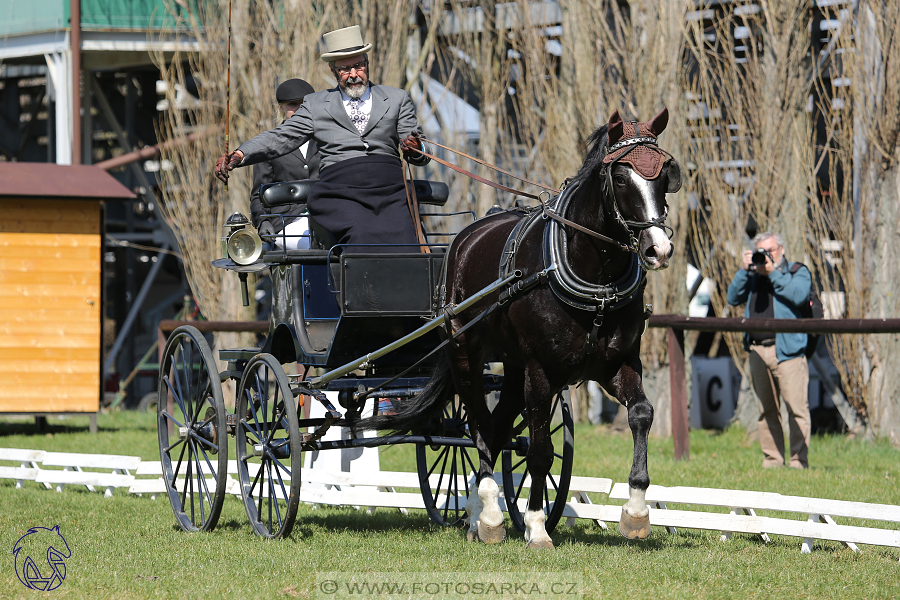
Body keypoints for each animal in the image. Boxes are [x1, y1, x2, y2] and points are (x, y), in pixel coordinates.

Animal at [362, 108, 680, 548]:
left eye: (665, 174)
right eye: (619, 177)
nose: (658, 250)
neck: (592, 277)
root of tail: (463, 239)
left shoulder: (619, 362)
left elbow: (641, 415)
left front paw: (635, 511)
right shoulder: (540, 370)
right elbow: (540, 450)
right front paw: (536, 526)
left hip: (512, 370)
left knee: (496, 430)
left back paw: (476, 514)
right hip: (467, 355)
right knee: (477, 427)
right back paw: (490, 515)